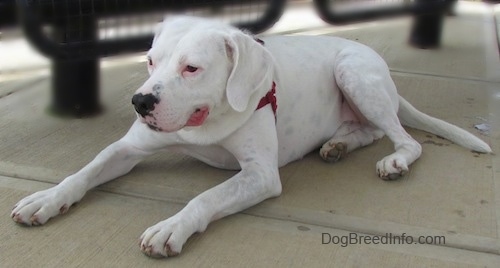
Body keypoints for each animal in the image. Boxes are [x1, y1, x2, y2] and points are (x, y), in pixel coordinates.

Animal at [11, 16, 492, 258]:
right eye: (149, 60)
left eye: (192, 68)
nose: (140, 101)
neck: (204, 122)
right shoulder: (128, 148)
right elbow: (84, 171)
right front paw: (46, 199)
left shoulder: (259, 174)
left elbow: (205, 197)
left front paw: (172, 226)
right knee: (371, 130)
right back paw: (337, 145)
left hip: (353, 73)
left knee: (405, 139)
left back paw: (394, 161)